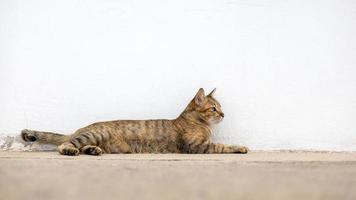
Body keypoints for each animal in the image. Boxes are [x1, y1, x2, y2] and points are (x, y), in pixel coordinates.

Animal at [20, 88, 249, 155]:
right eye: (214, 108)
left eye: (220, 107)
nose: (223, 114)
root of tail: (78, 129)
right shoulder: (196, 146)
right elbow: (222, 146)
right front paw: (240, 147)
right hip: (93, 134)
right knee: (64, 145)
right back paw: (70, 150)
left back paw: (93, 151)